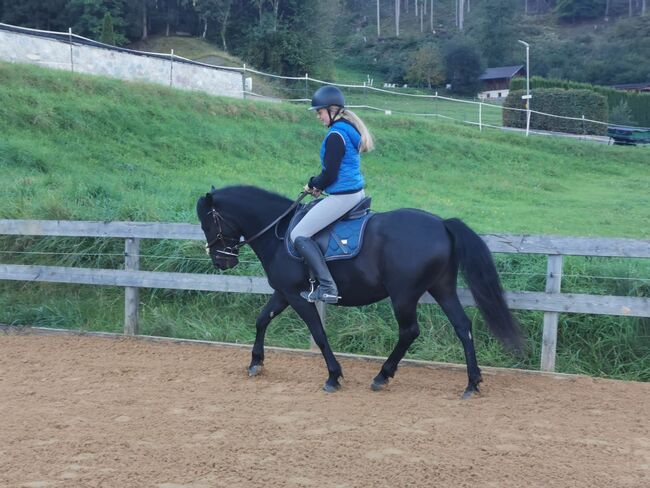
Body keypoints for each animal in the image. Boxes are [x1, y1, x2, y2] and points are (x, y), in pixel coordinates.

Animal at [196, 185, 520, 398]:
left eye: (207, 222)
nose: (221, 261)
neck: (279, 233)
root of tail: (442, 224)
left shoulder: (296, 296)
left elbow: (318, 333)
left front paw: (333, 376)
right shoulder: (284, 293)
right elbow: (262, 319)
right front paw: (255, 363)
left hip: (403, 295)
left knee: (409, 331)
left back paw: (382, 376)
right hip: (442, 288)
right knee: (462, 326)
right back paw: (472, 383)